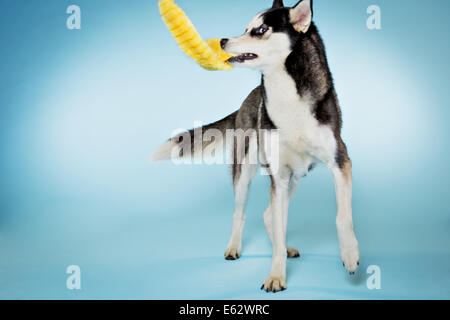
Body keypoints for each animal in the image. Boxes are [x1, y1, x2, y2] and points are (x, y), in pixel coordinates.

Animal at [153, 0, 360, 292]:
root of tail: (249, 98)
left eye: (261, 30)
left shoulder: (340, 162)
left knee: (267, 214)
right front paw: (276, 275)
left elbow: (343, 216)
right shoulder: (279, 177)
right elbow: (277, 223)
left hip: (295, 177)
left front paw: (350, 255)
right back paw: (235, 247)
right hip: (247, 173)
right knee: (242, 213)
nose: (223, 40)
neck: (285, 91)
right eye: (245, 28)